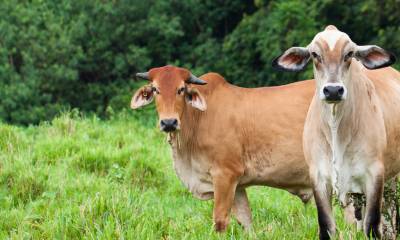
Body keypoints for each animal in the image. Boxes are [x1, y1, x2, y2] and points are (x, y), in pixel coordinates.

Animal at [131, 65, 316, 231]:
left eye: (181, 89)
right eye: (155, 89)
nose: (169, 122)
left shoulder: (225, 174)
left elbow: (220, 221)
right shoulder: (238, 185)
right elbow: (245, 221)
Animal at [274, 25, 398, 239]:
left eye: (349, 54)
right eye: (315, 54)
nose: (333, 90)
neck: (336, 130)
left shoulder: (375, 173)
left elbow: (373, 224)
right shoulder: (318, 176)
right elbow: (326, 225)